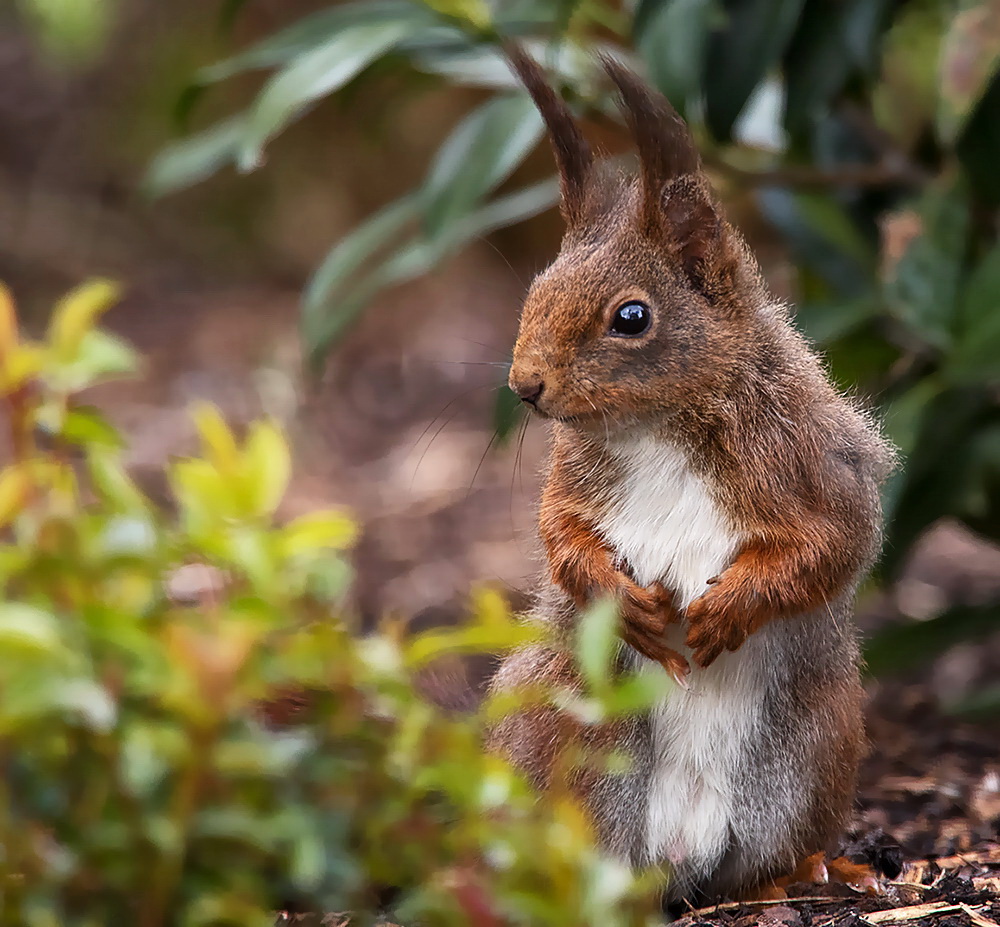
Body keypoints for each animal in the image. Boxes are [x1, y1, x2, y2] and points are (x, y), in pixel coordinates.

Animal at [488, 47, 896, 904]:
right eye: (536, 290)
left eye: (632, 317)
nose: (524, 385)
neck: (657, 426)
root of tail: (678, 857)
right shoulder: (572, 481)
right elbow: (561, 536)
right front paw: (623, 600)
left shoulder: (817, 459)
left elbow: (838, 541)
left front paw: (731, 608)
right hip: (557, 720)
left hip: (819, 737)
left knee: (764, 860)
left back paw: (803, 873)